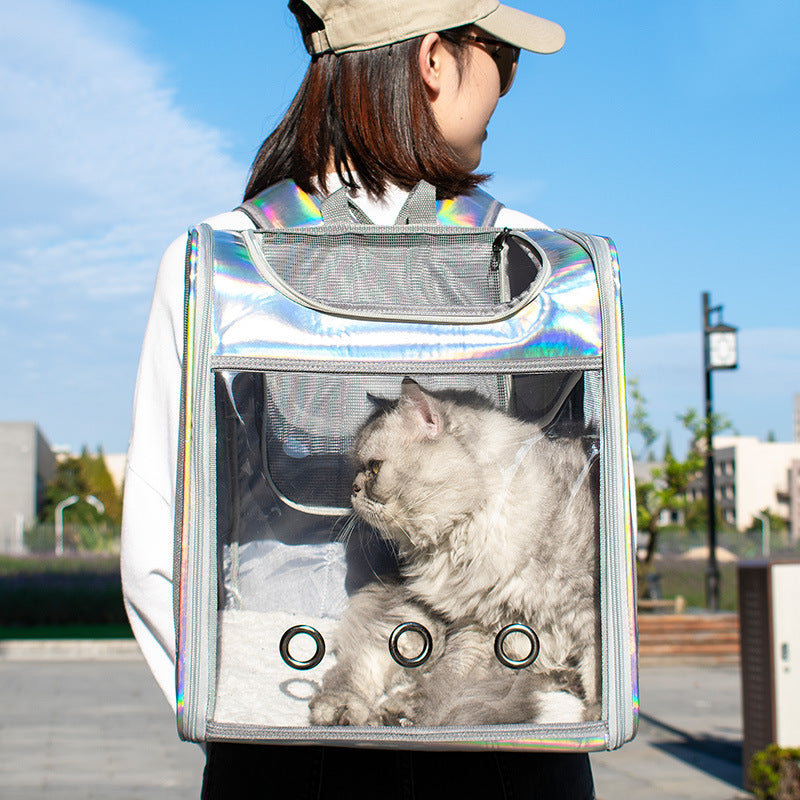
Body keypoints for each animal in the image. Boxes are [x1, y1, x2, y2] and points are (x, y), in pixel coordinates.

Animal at [310, 378, 596, 728]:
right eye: (359, 469)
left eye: (374, 469)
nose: (352, 489)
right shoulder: (474, 623)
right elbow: (426, 675)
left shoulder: (580, 610)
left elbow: (442, 686)